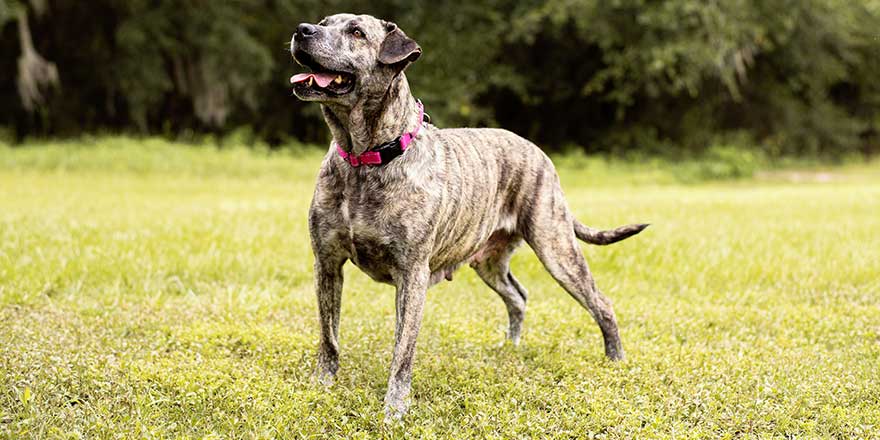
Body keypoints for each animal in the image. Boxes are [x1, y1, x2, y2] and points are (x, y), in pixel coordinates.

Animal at [288, 12, 648, 420]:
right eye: (324, 21)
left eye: (357, 32)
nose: (302, 30)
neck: (365, 158)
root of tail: (539, 153)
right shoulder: (327, 263)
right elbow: (328, 335)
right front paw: (322, 385)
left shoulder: (411, 274)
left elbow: (402, 352)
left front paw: (394, 409)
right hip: (489, 261)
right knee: (518, 295)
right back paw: (510, 346)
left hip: (556, 248)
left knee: (600, 302)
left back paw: (615, 358)